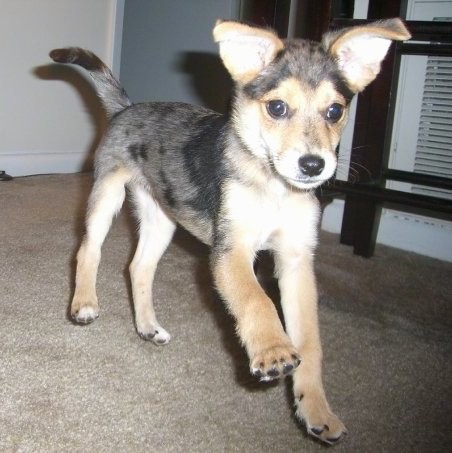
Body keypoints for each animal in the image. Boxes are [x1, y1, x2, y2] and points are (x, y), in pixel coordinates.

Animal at [49, 18, 410, 444]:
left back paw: (148, 327)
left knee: (138, 268)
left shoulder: (296, 261)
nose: (313, 165)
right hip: (107, 194)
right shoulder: (231, 250)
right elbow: (256, 299)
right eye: (277, 107)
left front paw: (317, 410)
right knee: (88, 249)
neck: (274, 187)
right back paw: (84, 303)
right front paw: (272, 350)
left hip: (161, 218)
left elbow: (310, 341)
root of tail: (126, 108)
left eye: (335, 111)